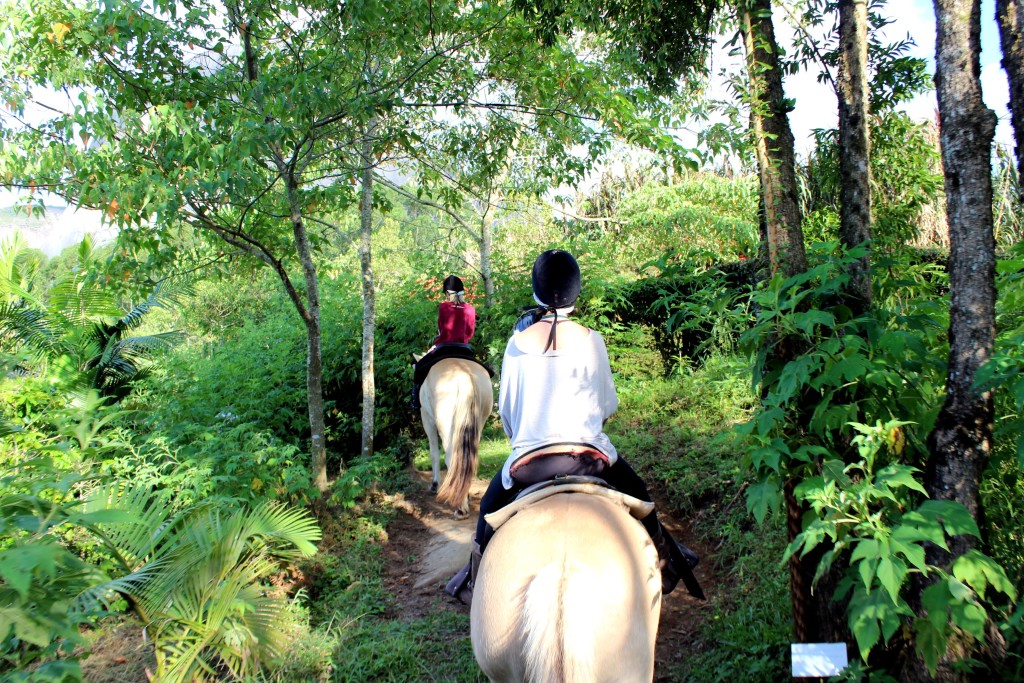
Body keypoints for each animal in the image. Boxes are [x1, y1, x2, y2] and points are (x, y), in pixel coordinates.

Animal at [417, 358, 493, 518]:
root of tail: (465, 377)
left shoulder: (427, 419)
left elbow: (434, 454)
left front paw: (434, 485)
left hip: (446, 425)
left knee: (451, 459)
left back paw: (460, 508)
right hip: (478, 423)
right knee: (468, 460)